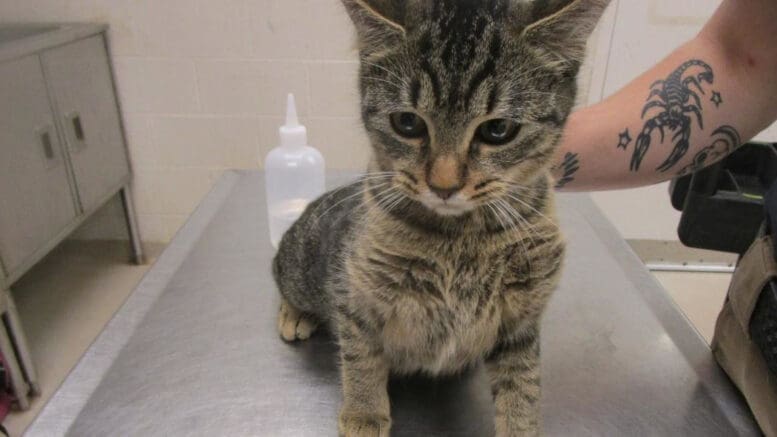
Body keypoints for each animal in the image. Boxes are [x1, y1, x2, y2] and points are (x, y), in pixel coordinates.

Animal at [272, 1, 608, 434]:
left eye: (498, 129)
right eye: (408, 122)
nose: (444, 184)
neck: (460, 240)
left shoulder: (521, 321)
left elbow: (524, 386)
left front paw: (520, 424)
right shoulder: (355, 294)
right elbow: (361, 355)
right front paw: (364, 412)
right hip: (300, 269)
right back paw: (294, 313)